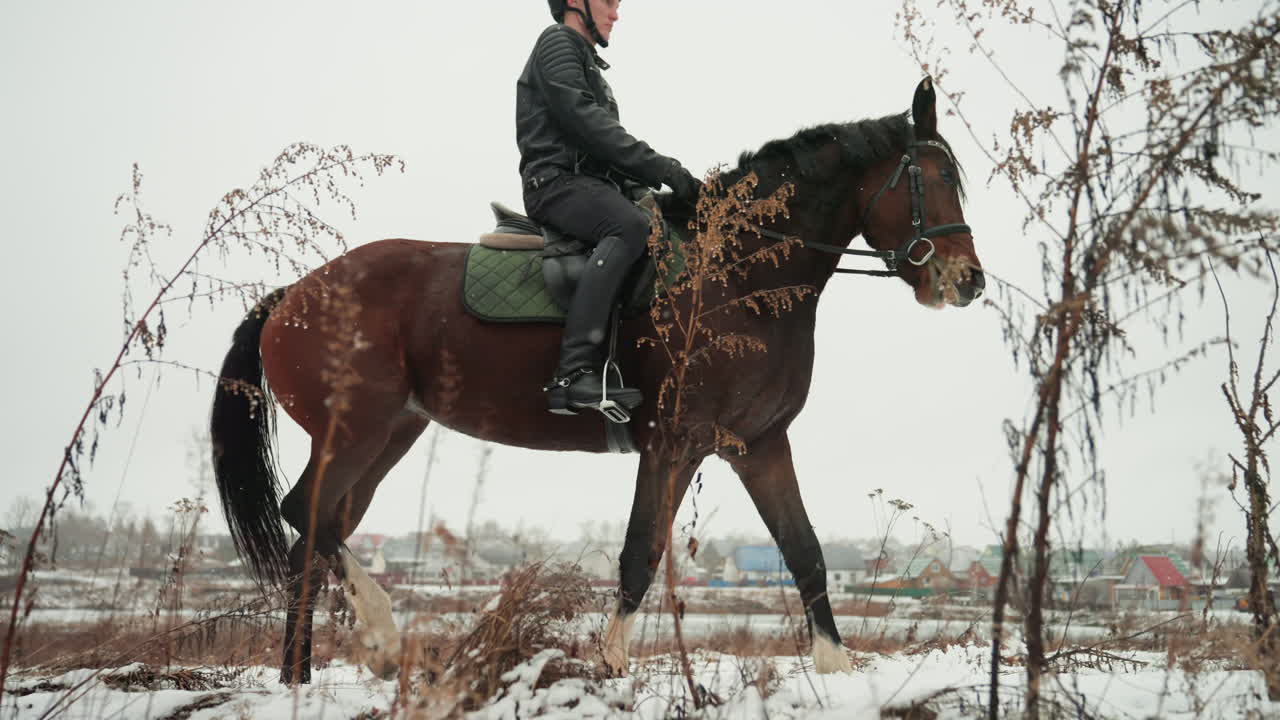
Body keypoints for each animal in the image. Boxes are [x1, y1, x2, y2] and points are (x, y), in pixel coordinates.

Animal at [210, 77, 985, 684]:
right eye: (936, 178)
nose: (967, 281)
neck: (739, 278)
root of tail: (294, 293)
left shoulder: (759, 444)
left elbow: (807, 554)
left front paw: (835, 669)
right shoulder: (673, 443)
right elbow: (640, 552)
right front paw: (610, 663)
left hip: (390, 433)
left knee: (315, 536)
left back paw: (300, 675)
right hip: (355, 430)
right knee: (304, 516)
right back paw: (378, 634)